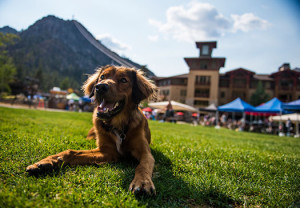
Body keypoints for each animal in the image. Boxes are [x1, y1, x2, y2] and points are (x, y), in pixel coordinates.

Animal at [26, 65, 157, 195]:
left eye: (123, 80)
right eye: (102, 77)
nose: (100, 87)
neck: (118, 125)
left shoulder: (145, 153)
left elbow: (143, 165)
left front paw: (142, 182)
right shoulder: (106, 151)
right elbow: (72, 152)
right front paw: (46, 161)